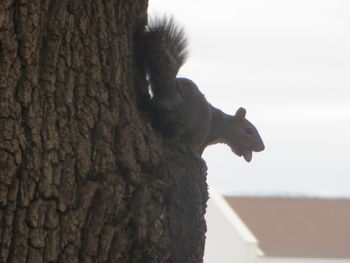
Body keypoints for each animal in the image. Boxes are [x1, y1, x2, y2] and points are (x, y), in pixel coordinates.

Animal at [135, 16, 264, 162]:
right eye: (248, 131)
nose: (262, 147)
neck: (223, 125)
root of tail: (170, 96)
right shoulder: (206, 137)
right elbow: (200, 149)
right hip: (199, 122)